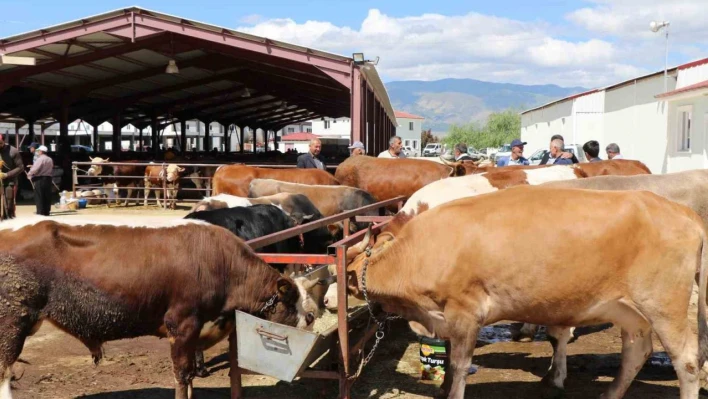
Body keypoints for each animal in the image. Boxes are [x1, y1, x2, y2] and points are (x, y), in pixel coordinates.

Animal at [0, 219, 318, 399]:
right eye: (299, 307)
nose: (312, 318)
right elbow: (181, 375)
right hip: (11, 324)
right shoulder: (182, 324)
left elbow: (190, 377)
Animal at [342, 188, 708, 399]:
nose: (332, 302)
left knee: (687, 360)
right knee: (637, 351)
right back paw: (610, 394)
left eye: (343, 279)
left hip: (664, 304)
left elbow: (460, 365)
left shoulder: (464, 312)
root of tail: (683, 212)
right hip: (629, 310)